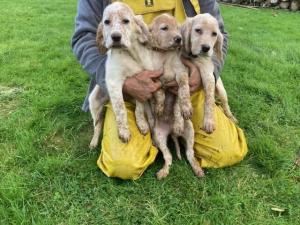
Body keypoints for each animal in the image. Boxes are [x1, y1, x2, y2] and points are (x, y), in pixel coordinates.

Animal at [149, 14, 205, 179]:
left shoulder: (181, 73)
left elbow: (183, 91)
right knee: (168, 157)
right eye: (164, 28)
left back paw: (198, 169)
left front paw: (185, 108)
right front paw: (159, 107)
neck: (164, 55)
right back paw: (163, 172)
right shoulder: (154, 77)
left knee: (190, 154)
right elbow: (159, 92)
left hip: (190, 131)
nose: (179, 39)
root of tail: (171, 132)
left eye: (178, 28)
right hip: (158, 136)